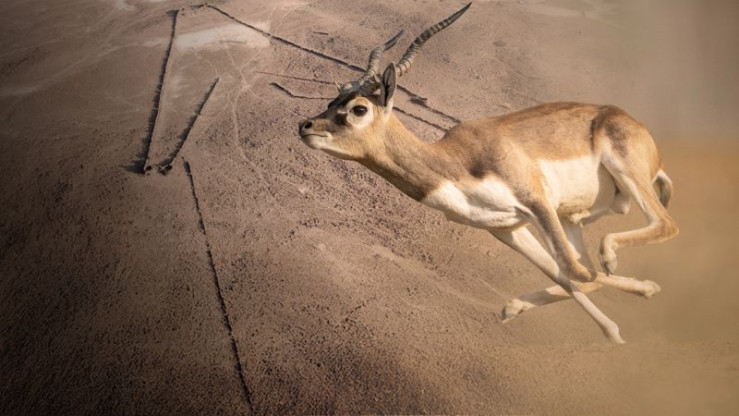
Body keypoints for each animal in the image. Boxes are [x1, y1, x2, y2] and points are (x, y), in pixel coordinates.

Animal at [297, 3, 678, 343]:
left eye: (359, 109)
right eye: (332, 102)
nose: (306, 126)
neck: (454, 165)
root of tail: (641, 132)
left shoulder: (535, 200)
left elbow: (578, 271)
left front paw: (639, 297)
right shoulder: (507, 228)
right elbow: (570, 274)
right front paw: (612, 327)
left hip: (622, 174)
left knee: (659, 228)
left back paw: (618, 263)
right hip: (570, 217)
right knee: (585, 254)